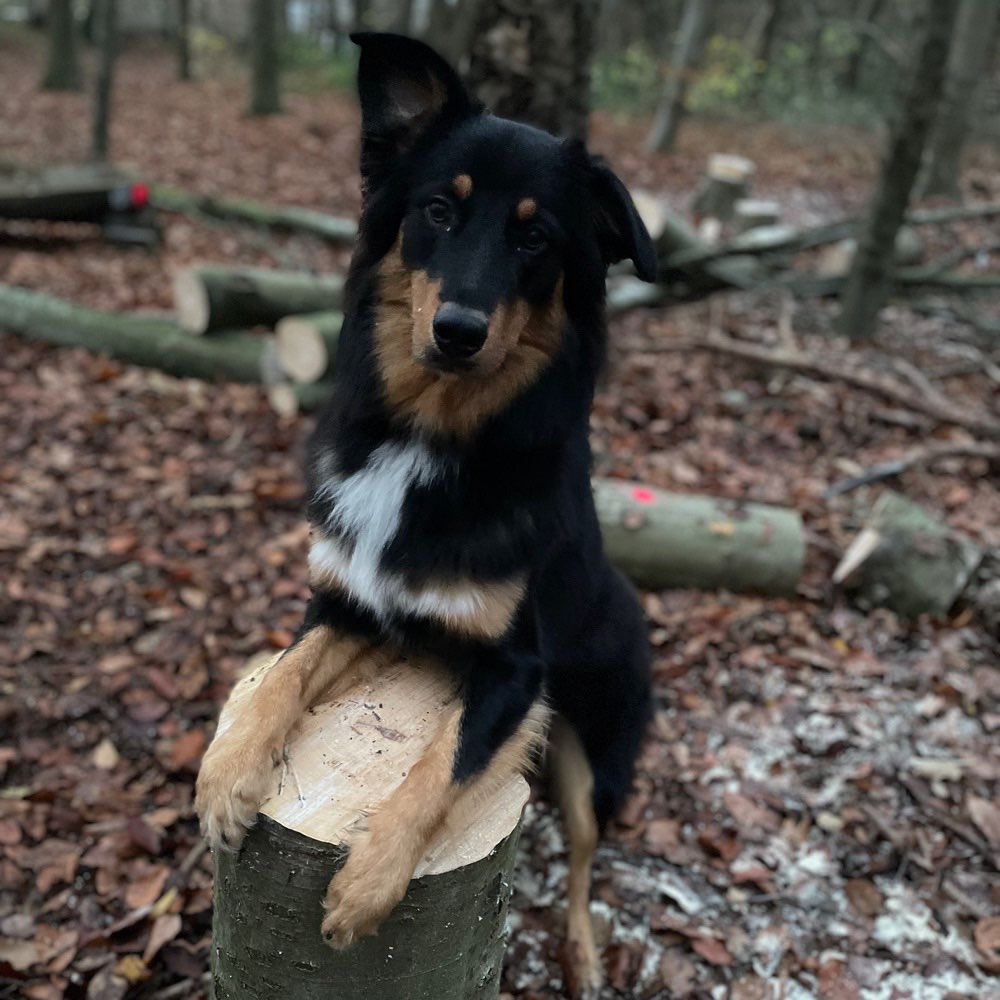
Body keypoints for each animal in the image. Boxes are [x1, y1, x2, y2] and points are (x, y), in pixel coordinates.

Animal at [197, 31, 656, 992]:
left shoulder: (517, 673)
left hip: (587, 753)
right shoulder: (356, 604)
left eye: (536, 236)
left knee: (585, 854)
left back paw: (584, 949)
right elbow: (283, 675)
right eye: (441, 210)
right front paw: (225, 779)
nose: (458, 330)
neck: (432, 435)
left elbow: (444, 760)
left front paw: (368, 884)